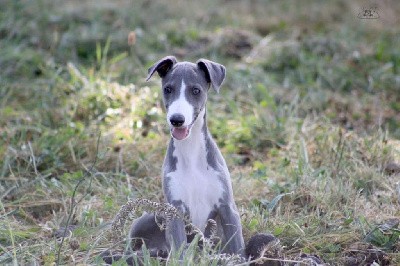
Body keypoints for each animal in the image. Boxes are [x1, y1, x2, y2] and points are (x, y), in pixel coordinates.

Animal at [130, 55, 245, 258]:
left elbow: (238, 249)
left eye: (196, 90)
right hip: (146, 219)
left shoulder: (227, 208)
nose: (177, 119)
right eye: (168, 89)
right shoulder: (175, 210)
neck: (191, 154)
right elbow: (180, 251)